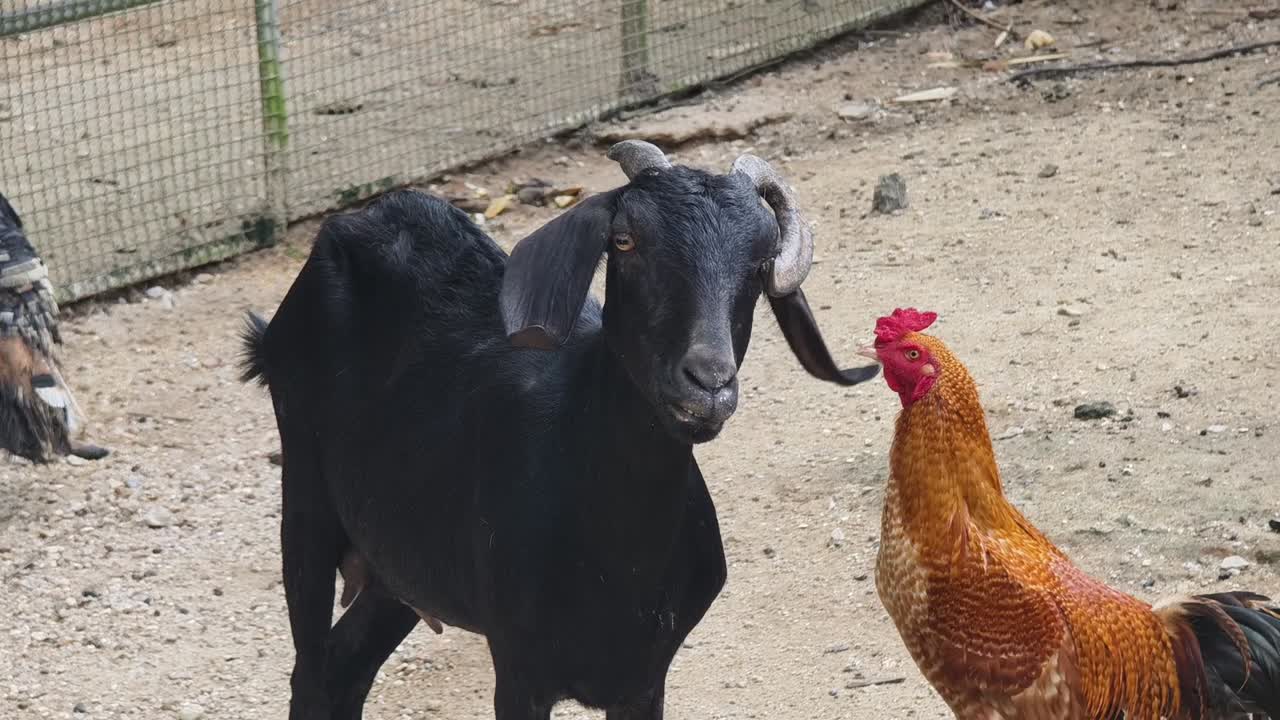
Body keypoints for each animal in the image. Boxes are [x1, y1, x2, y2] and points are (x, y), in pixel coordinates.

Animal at [240, 140, 878, 720]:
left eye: (761, 259)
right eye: (625, 241)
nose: (708, 383)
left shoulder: (644, 678)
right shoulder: (519, 666)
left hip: (402, 559)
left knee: (346, 666)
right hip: (306, 497)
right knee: (311, 671)